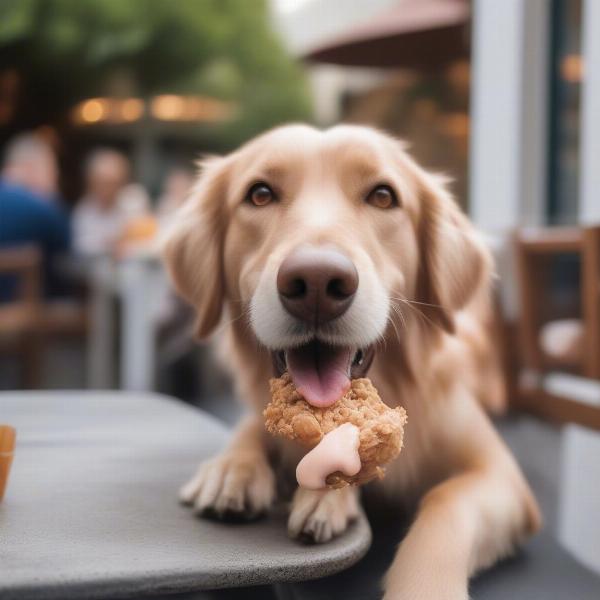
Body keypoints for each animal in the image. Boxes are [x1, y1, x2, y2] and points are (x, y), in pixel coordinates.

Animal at [162, 124, 540, 596]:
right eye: (260, 194)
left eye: (383, 196)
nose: (317, 283)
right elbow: (255, 430)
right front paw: (235, 469)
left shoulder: (502, 476)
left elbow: (446, 501)